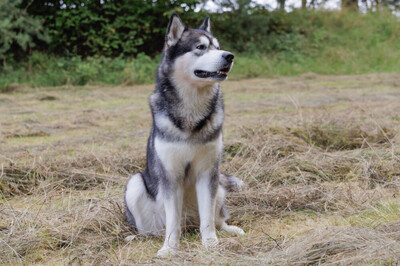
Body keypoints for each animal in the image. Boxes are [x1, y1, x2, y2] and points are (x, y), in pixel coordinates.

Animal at [125, 13, 244, 258]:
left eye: (218, 47)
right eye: (200, 47)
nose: (229, 56)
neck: (192, 110)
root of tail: (189, 225)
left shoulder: (207, 172)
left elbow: (208, 218)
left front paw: (210, 243)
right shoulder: (171, 176)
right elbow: (172, 220)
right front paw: (170, 248)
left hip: (218, 185)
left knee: (217, 219)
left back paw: (230, 229)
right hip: (134, 184)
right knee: (153, 229)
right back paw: (146, 237)